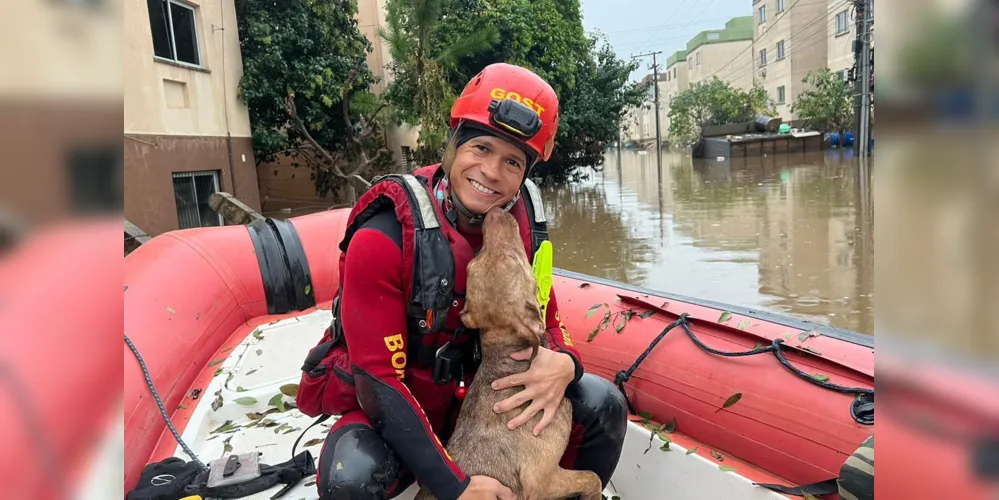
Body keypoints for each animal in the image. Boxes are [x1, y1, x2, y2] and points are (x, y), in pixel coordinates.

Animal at [414, 207, 600, 500]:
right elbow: (594, 477)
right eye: (514, 259)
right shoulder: (543, 480)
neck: (505, 359)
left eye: (474, 261)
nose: (493, 212)